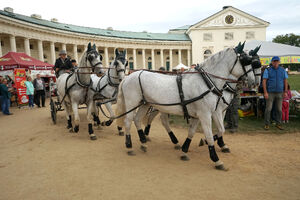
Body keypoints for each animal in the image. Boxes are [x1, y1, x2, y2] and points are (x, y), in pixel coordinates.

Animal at [116, 43, 256, 170]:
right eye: (246, 60)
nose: (253, 82)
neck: (206, 82)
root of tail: (128, 76)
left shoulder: (204, 114)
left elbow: (198, 131)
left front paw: (185, 150)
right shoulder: (205, 114)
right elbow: (210, 135)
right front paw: (216, 159)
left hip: (145, 104)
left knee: (138, 119)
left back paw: (144, 143)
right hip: (133, 103)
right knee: (128, 121)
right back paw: (129, 146)